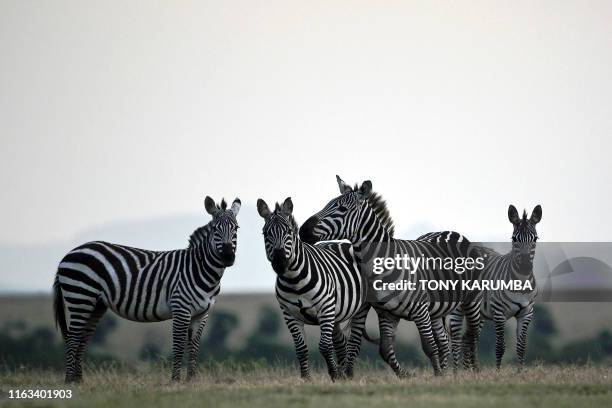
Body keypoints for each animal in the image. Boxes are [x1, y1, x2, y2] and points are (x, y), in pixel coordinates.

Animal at [52, 197, 240, 382]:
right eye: (215, 229)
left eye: (236, 228)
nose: (228, 257)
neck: (199, 270)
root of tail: (67, 254)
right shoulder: (181, 309)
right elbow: (179, 346)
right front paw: (175, 381)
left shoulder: (202, 314)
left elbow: (194, 347)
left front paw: (191, 381)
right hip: (80, 297)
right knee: (72, 339)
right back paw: (70, 381)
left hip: (96, 304)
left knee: (82, 339)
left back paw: (79, 381)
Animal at [256, 197, 370, 380]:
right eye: (265, 233)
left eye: (289, 231)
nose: (280, 263)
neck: (294, 280)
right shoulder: (289, 315)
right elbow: (301, 349)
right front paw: (306, 379)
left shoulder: (325, 309)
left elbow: (324, 346)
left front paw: (333, 374)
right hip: (336, 314)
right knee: (340, 342)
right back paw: (344, 374)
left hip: (359, 308)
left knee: (354, 342)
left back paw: (348, 374)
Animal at [300, 175, 482, 376]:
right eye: (326, 204)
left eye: (342, 209)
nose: (303, 230)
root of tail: (451, 231)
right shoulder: (387, 314)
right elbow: (386, 350)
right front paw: (410, 376)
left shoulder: (420, 310)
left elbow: (428, 346)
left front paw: (437, 377)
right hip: (436, 309)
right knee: (443, 341)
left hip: (471, 300)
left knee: (472, 335)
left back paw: (473, 370)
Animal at [448, 204, 544, 370]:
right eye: (514, 239)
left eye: (535, 239)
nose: (525, 266)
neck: (520, 284)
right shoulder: (499, 313)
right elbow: (500, 346)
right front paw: (498, 372)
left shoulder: (527, 313)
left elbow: (521, 346)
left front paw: (520, 372)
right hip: (458, 308)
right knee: (456, 340)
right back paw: (456, 372)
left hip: (477, 313)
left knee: (468, 339)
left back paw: (470, 370)